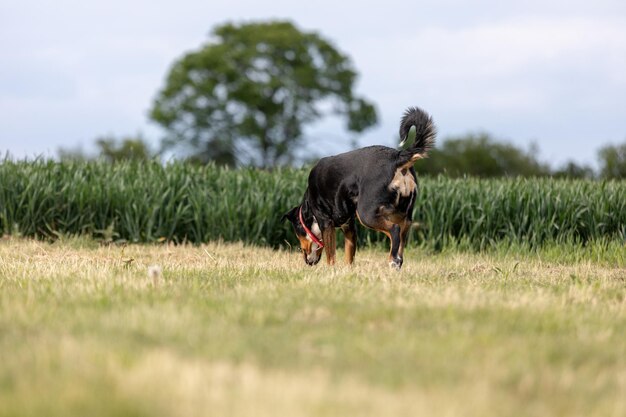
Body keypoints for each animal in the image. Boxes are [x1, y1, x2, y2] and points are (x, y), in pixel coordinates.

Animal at [282, 107, 434, 268]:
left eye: (297, 233)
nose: (307, 261)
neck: (309, 207)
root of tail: (397, 157)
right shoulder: (349, 226)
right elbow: (349, 255)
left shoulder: (326, 223)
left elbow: (331, 255)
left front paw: (330, 270)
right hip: (402, 214)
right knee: (401, 240)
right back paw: (395, 263)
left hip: (367, 214)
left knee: (394, 230)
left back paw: (392, 261)